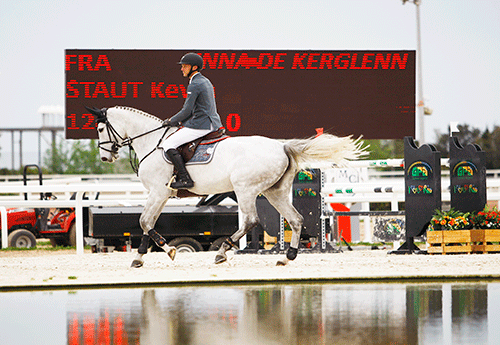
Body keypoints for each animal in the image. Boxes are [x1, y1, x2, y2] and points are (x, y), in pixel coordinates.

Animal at [88, 106, 366, 268]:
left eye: (100, 128)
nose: (105, 157)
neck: (152, 141)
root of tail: (281, 146)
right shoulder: (162, 194)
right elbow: (148, 223)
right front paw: (144, 255)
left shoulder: (158, 192)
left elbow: (144, 221)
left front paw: (164, 251)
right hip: (274, 192)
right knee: (296, 220)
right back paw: (287, 256)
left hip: (245, 189)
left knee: (251, 221)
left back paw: (223, 252)